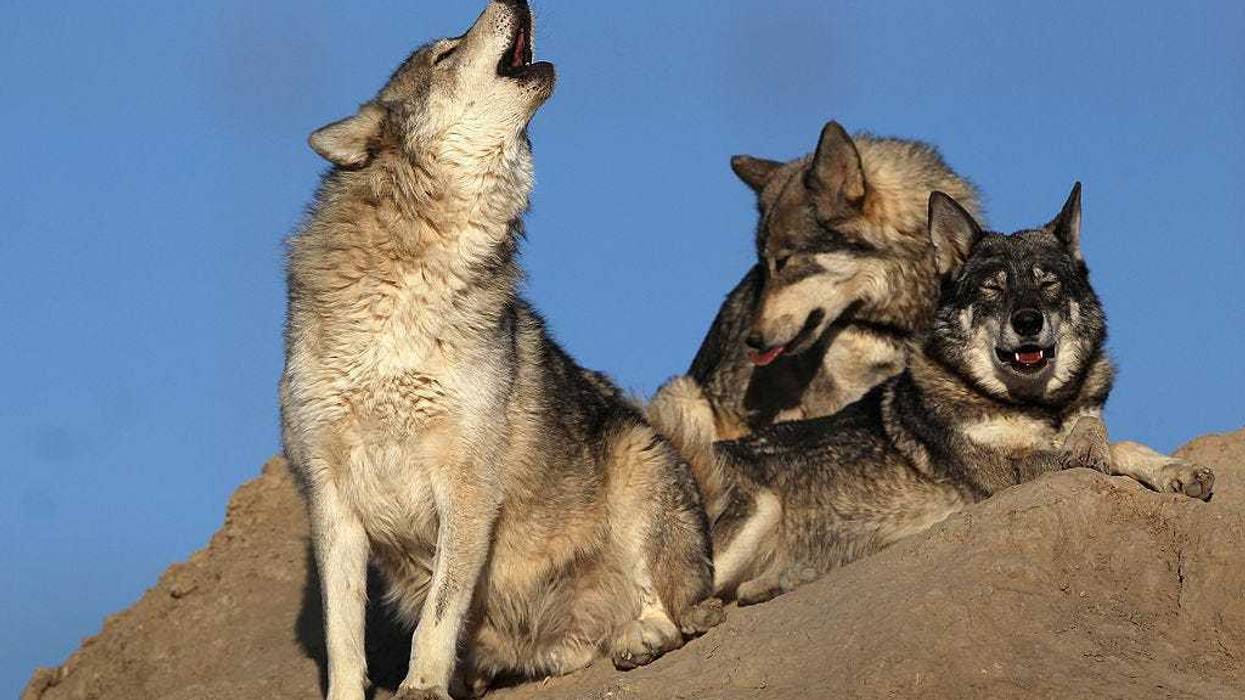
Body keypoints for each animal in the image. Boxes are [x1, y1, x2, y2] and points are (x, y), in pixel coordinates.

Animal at [279, 3, 720, 699]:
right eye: (444, 54)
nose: (516, 3)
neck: (410, 285)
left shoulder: (465, 484)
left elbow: (438, 612)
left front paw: (422, 687)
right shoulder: (331, 498)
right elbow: (342, 635)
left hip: (636, 468)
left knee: (671, 611)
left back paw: (641, 637)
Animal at [693, 184, 1215, 604]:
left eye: (1047, 281)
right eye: (992, 288)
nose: (1028, 321)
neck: (1034, 407)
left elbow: (1118, 440)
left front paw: (1176, 469)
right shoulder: (1010, 477)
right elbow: (1107, 448)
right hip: (757, 511)